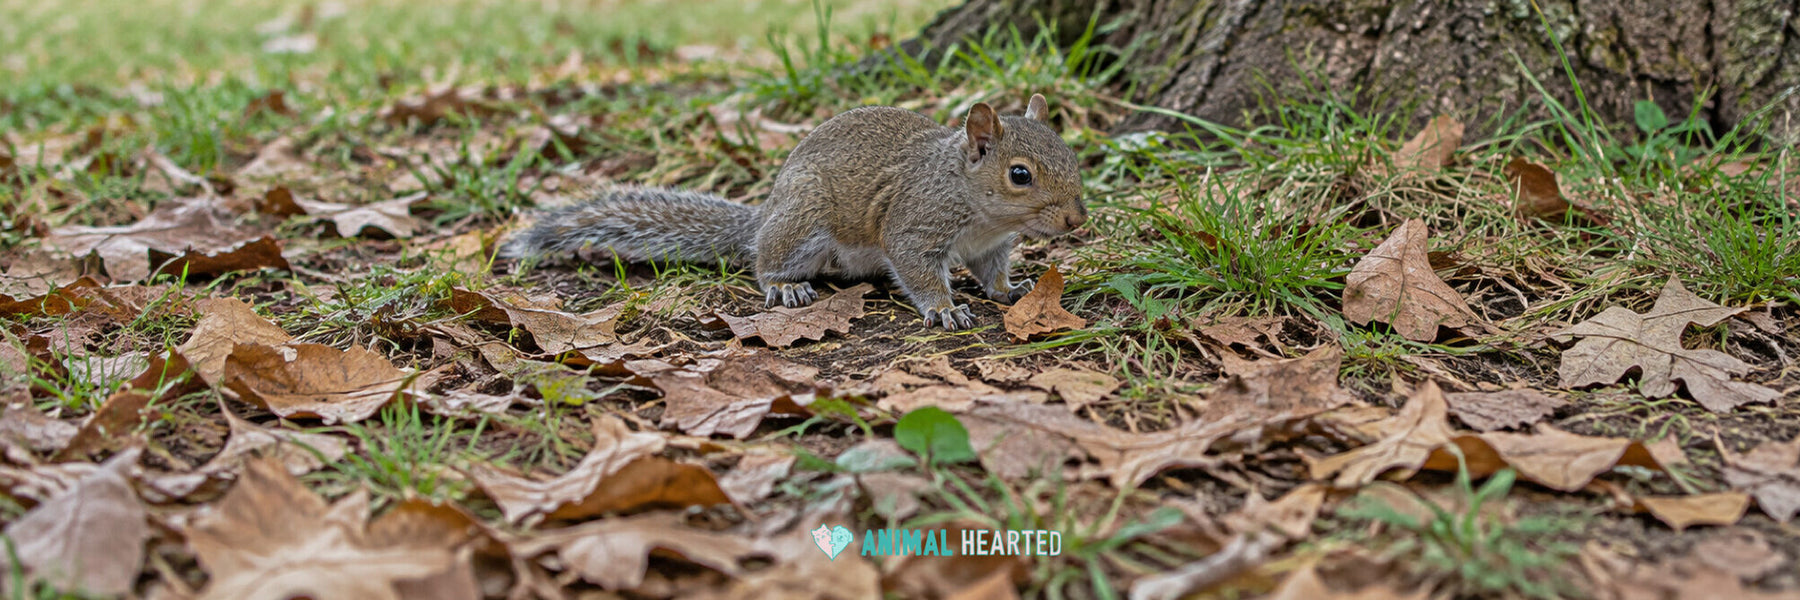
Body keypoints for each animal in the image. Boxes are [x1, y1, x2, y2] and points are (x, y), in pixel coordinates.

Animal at [502, 93, 1087, 330]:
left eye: (1069, 152)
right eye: (1020, 175)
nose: (1076, 220)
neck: (983, 213)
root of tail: (764, 215)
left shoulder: (991, 246)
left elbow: (992, 272)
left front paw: (1009, 290)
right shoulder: (915, 224)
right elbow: (917, 268)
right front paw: (944, 309)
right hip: (804, 220)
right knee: (764, 261)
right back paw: (785, 286)